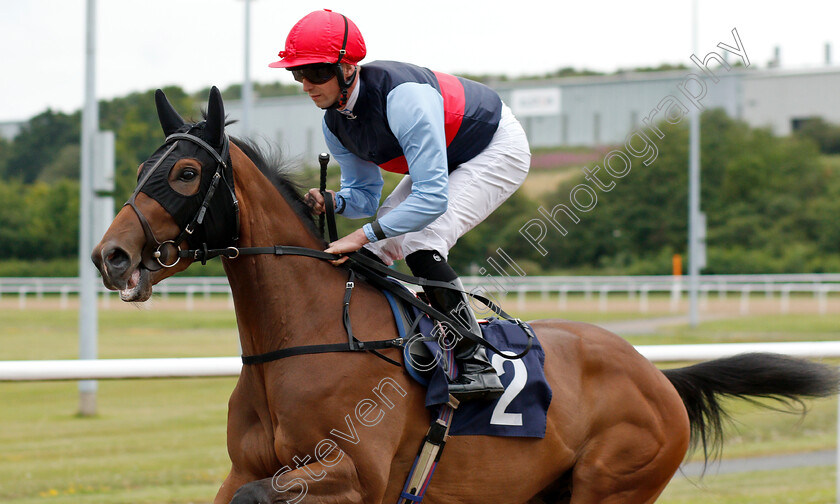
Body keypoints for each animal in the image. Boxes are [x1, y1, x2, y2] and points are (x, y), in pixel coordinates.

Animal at [92, 88, 840, 502]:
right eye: (142, 166)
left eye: (186, 174)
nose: (110, 255)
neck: (310, 336)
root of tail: (658, 376)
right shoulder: (246, 467)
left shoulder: (355, 475)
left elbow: (261, 495)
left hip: (612, 485)